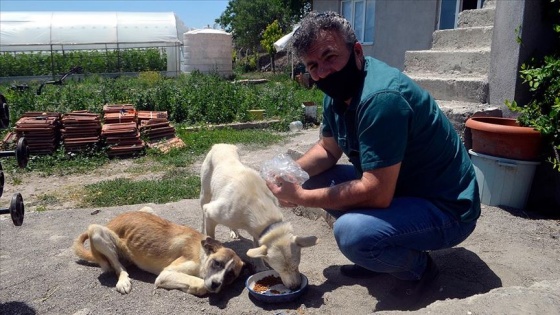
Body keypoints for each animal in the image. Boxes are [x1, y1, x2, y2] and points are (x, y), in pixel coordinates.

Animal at [72, 209, 245, 298]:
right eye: (217, 263)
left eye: (230, 275)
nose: (216, 284)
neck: (203, 254)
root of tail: (111, 221)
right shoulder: (166, 274)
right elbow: (200, 283)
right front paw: (198, 288)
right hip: (95, 231)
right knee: (118, 267)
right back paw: (123, 280)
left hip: (148, 209)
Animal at [199, 144, 318, 290]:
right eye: (281, 269)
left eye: (297, 266)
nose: (295, 287)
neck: (257, 203)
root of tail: (221, 144)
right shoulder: (210, 211)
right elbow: (211, 235)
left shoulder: (258, 231)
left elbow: (257, 248)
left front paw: (260, 266)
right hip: (205, 194)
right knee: (202, 213)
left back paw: (234, 231)